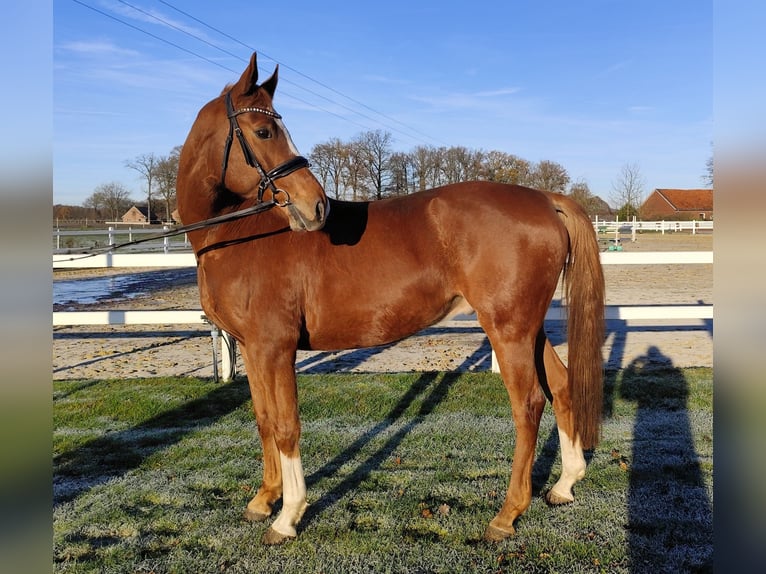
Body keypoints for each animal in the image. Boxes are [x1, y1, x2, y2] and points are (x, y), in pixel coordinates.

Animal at [177, 53, 604, 544]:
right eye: (265, 131)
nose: (315, 206)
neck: (238, 235)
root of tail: (543, 198)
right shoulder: (251, 348)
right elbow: (264, 419)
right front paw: (263, 500)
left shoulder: (275, 348)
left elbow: (286, 426)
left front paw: (287, 516)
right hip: (528, 327)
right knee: (561, 385)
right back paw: (564, 484)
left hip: (508, 328)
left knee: (529, 403)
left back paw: (507, 514)